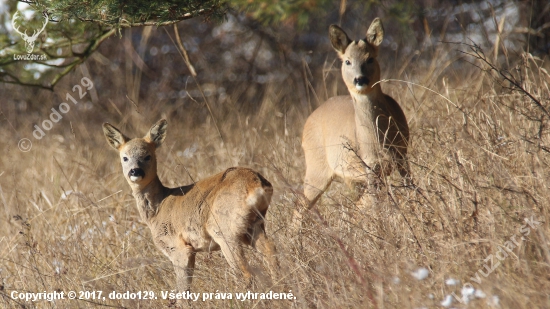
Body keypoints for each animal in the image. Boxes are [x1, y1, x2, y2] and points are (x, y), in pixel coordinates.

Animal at [102, 119, 280, 292]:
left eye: (147, 156)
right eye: (124, 157)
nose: (135, 171)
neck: (157, 210)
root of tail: (256, 183)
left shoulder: (178, 247)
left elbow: (182, 289)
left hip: (224, 229)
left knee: (246, 274)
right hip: (254, 224)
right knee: (270, 250)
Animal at [298, 18, 410, 221]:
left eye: (370, 58)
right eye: (348, 61)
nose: (360, 79)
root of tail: (308, 121)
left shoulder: (401, 153)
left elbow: (410, 188)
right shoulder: (370, 165)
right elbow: (376, 203)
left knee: (355, 204)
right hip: (316, 166)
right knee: (300, 205)